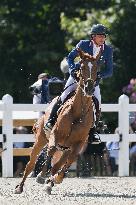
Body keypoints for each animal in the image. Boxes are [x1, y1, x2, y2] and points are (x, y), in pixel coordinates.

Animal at [14, 47, 102, 194]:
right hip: (40, 140)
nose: (89, 88)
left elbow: (68, 162)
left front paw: (55, 180)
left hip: (65, 148)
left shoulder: (77, 145)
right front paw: (42, 176)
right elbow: (51, 150)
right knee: (31, 164)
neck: (78, 112)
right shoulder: (55, 134)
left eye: (97, 68)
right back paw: (20, 187)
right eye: (82, 67)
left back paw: (50, 183)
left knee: (57, 164)